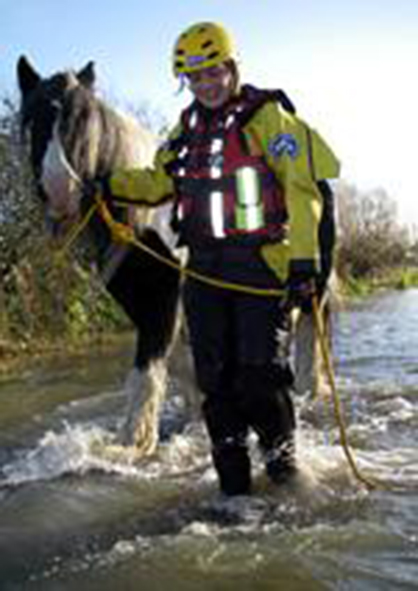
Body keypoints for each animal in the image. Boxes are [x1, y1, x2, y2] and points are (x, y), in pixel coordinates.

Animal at [17, 56, 182, 458]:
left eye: (84, 120)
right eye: (33, 120)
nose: (60, 191)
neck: (146, 212)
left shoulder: (166, 295)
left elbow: (148, 374)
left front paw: (135, 444)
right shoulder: (137, 299)